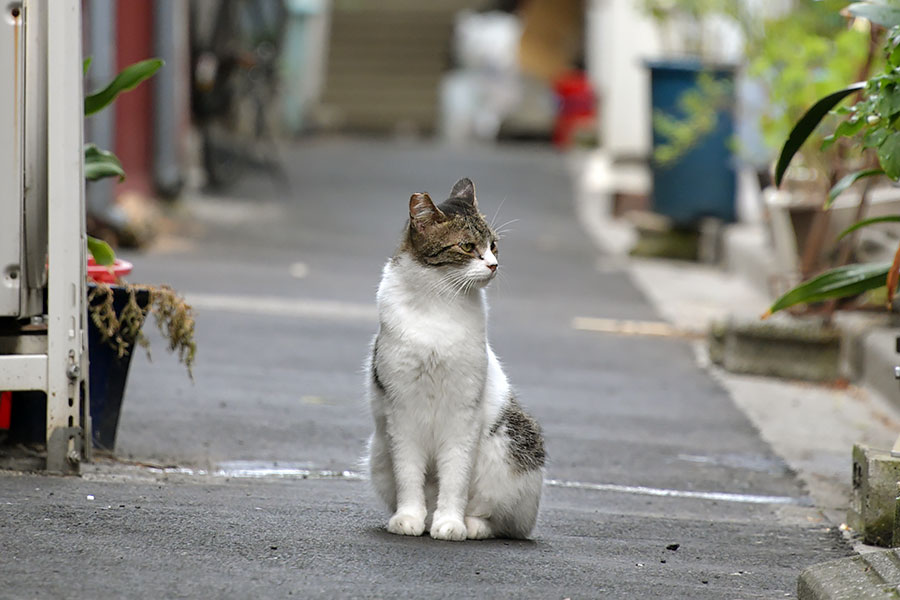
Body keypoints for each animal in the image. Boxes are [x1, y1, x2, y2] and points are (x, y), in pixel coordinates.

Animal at [362, 176, 544, 540]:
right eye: (466, 246)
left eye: (493, 246)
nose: (493, 265)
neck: (438, 301)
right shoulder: (401, 413)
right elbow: (409, 475)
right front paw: (409, 517)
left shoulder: (464, 413)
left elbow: (456, 477)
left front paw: (451, 522)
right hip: (379, 452)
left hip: (511, 448)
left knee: (501, 519)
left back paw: (472, 525)